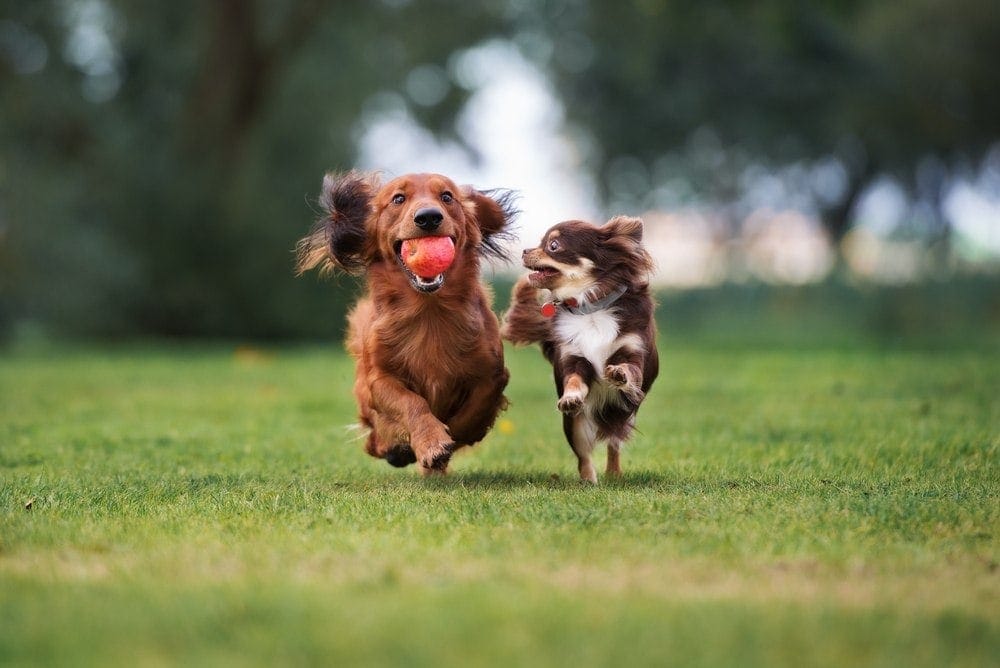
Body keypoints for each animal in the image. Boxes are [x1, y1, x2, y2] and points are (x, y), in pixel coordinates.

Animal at [294, 172, 516, 474]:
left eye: (447, 196)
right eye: (398, 198)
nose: (429, 217)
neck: (429, 312)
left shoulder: (492, 373)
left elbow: (474, 410)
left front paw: (452, 437)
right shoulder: (379, 379)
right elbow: (411, 402)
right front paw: (431, 442)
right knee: (374, 440)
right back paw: (395, 448)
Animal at [500, 217, 656, 482]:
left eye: (553, 246)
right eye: (540, 242)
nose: (525, 251)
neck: (589, 307)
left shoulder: (633, 352)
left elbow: (630, 369)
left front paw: (619, 374)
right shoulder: (574, 359)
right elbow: (574, 381)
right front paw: (571, 397)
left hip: (624, 414)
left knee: (614, 443)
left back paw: (613, 473)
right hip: (574, 425)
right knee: (584, 455)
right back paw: (588, 481)